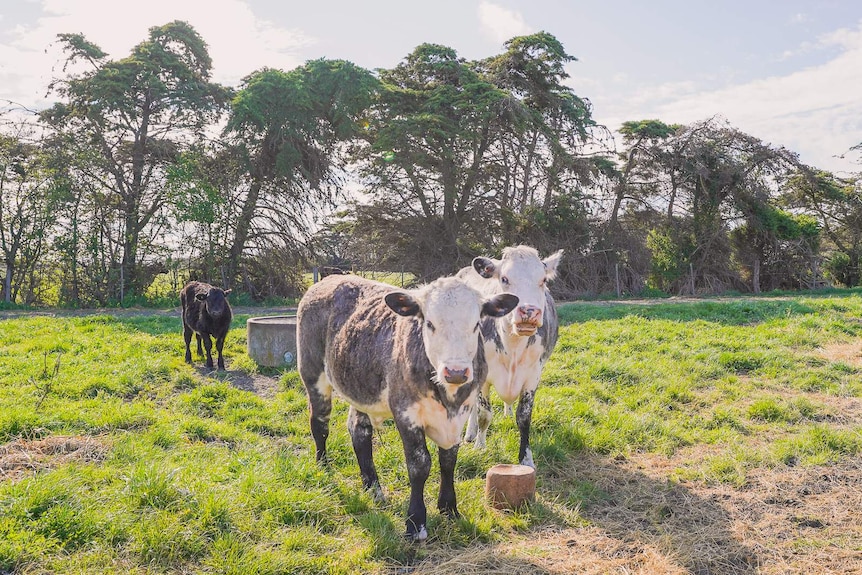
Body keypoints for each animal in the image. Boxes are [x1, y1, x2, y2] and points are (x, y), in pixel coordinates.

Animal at [296, 274, 520, 540]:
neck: (447, 397)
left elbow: (448, 460)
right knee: (319, 423)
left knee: (359, 432)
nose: (455, 372)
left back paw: (373, 488)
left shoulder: (460, 414)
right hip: (312, 373)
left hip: (360, 387)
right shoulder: (406, 413)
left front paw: (449, 508)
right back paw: (323, 466)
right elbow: (419, 464)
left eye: (476, 324)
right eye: (430, 324)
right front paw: (416, 522)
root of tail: (330, 278)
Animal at [460, 245, 568, 470]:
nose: (529, 311)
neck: (513, 347)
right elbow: (484, 414)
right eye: (504, 279)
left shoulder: (532, 375)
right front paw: (480, 446)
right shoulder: (483, 375)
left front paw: (526, 458)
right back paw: (470, 434)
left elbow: (524, 417)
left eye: (543, 280)